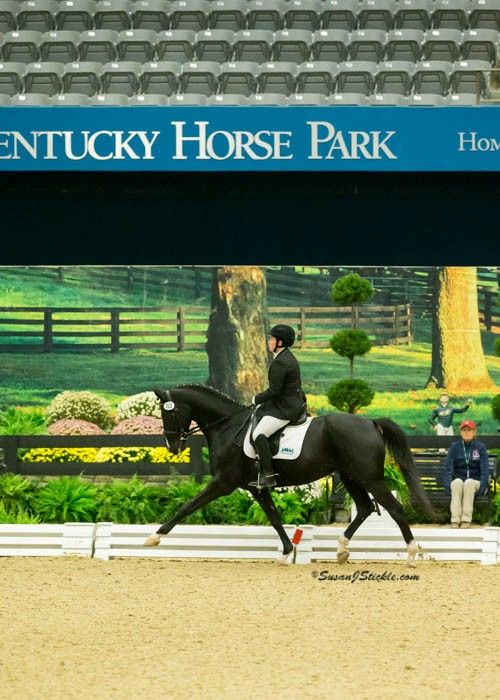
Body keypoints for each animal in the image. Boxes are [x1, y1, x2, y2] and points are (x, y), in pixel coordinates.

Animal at [145, 382, 434, 564]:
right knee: (364, 508)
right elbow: (274, 517)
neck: (228, 426)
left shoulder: (223, 483)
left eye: (167, 413)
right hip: (350, 476)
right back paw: (341, 550)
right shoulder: (255, 487)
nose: (173, 446)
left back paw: (411, 553)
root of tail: (371, 422)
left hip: (369, 477)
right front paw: (286, 552)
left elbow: (188, 506)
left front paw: (154, 537)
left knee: (394, 508)